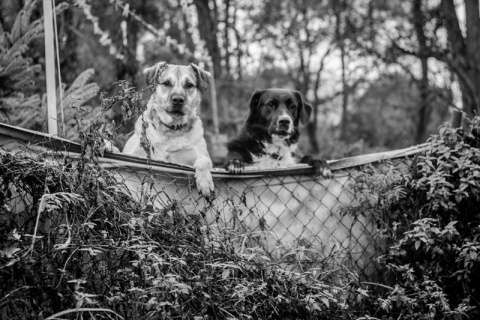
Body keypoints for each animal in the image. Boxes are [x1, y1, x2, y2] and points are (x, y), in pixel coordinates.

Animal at [123, 62, 215, 198]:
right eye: (166, 83)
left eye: (189, 85)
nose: (178, 99)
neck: (171, 130)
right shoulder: (134, 154)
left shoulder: (199, 156)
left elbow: (203, 160)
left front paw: (205, 182)